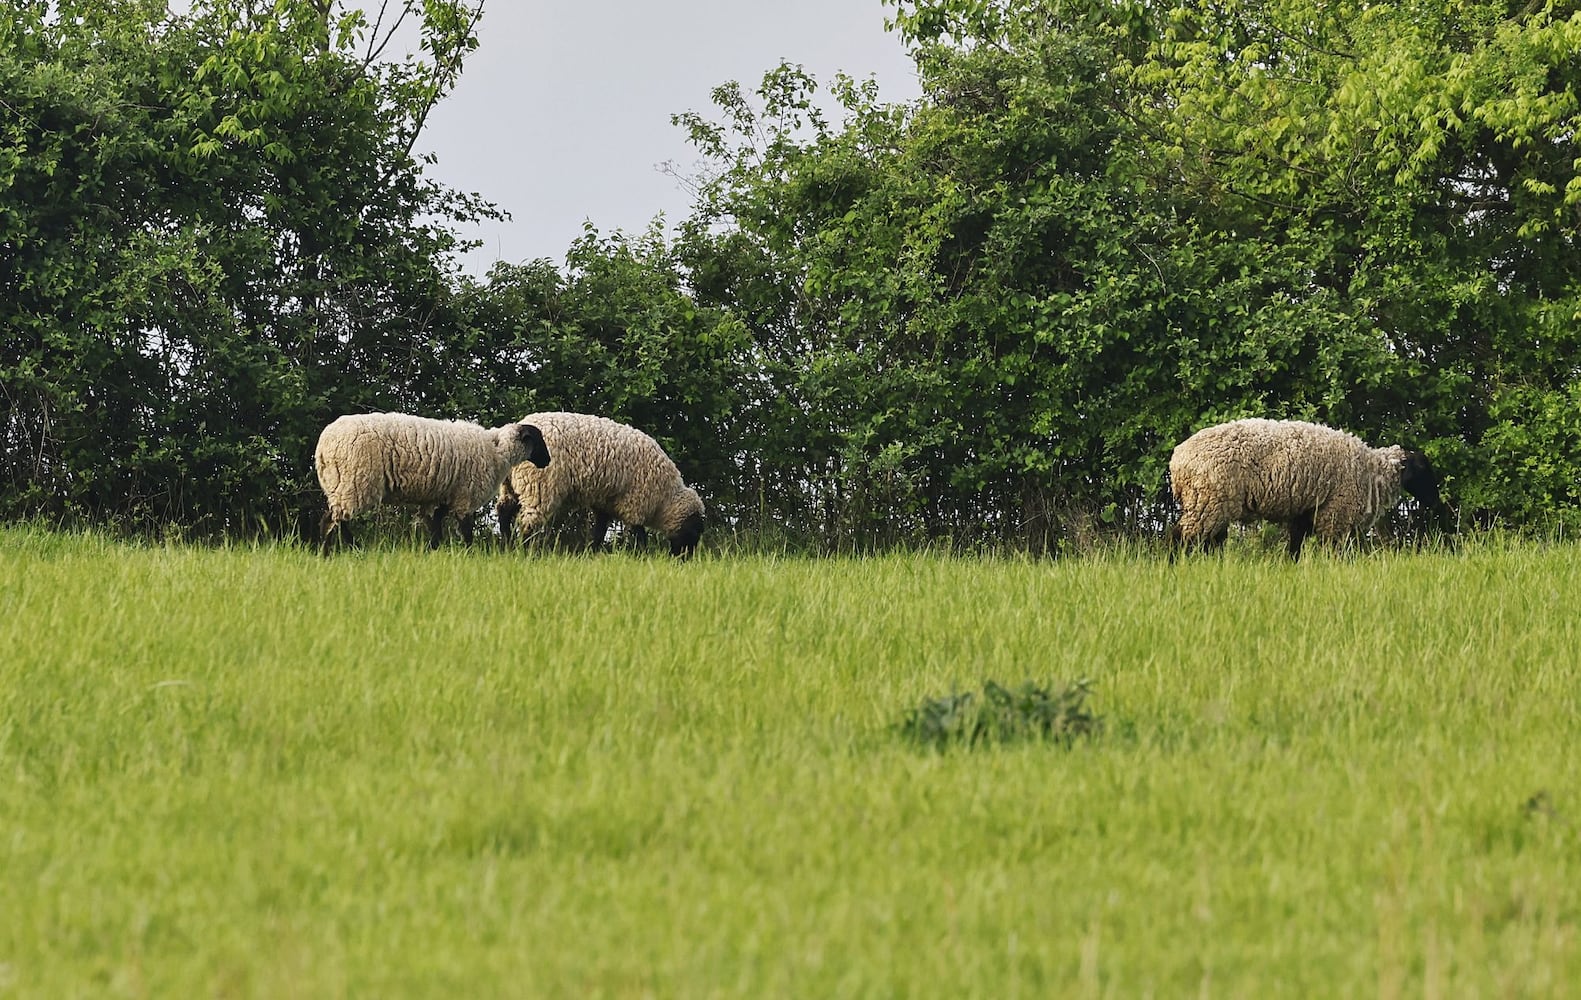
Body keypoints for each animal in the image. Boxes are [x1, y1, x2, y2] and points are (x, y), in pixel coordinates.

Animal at [313, 413, 550, 552]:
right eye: (539, 440)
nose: (548, 461)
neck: (497, 450)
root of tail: (323, 447)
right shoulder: (464, 495)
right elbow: (466, 529)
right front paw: (469, 553)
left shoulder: (445, 495)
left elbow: (436, 525)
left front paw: (432, 550)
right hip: (354, 481)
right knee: (330, 520)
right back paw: (330, 552)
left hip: (340, 484)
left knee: (339, 519)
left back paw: (350, 549)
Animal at [493, 410, 705, 559]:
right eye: (693, 531)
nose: (683, 560)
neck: (664, 498)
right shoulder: (636, 501)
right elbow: (639, 533)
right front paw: (643, 556)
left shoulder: (605, 502)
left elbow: (600, 530)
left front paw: (592, 553)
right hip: (538, 486)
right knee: (528, 522)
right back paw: (527, 552)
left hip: (511, 486)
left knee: (504, 511)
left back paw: (507, 545)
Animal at [1163, 413, 1448, 562]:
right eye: (1423, 470)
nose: (1435, 502)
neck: (1371, 471)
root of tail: (1177, 461)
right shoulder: (1334, 514)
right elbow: (1332, 551)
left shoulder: (1305, 512)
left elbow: (1295, 547)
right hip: (1208, 502)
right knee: (1180, 537)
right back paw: (1175, 566)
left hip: (1210, 504)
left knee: (1207, 541)